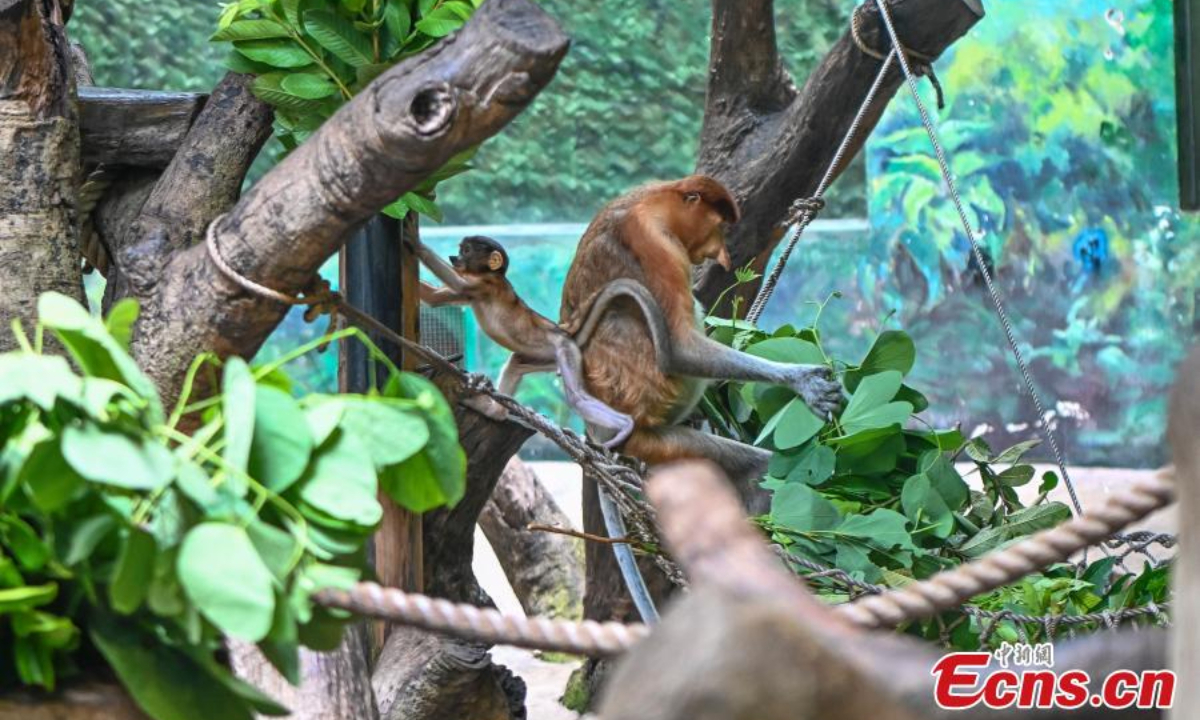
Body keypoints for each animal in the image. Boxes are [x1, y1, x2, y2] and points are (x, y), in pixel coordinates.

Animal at [415, 235, 636, 447]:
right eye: (460, 249)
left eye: (466, 250)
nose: (454, 258)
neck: (492, 275)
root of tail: (565, 334)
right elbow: (433, 298)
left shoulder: (488, 285)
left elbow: (458, 283)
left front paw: (416, 243)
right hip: (546, 358)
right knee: (515, 364)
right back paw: (495, 412)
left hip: (565, 350)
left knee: (577, 399)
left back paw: (626, 424)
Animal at [559, 175, 844, 483]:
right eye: (718, 226)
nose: (718, 252)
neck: (653, 200)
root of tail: (600, 432)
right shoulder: (655, 240)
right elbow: (679, 349)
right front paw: (804, 380)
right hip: (653, 437)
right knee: (753, 466)